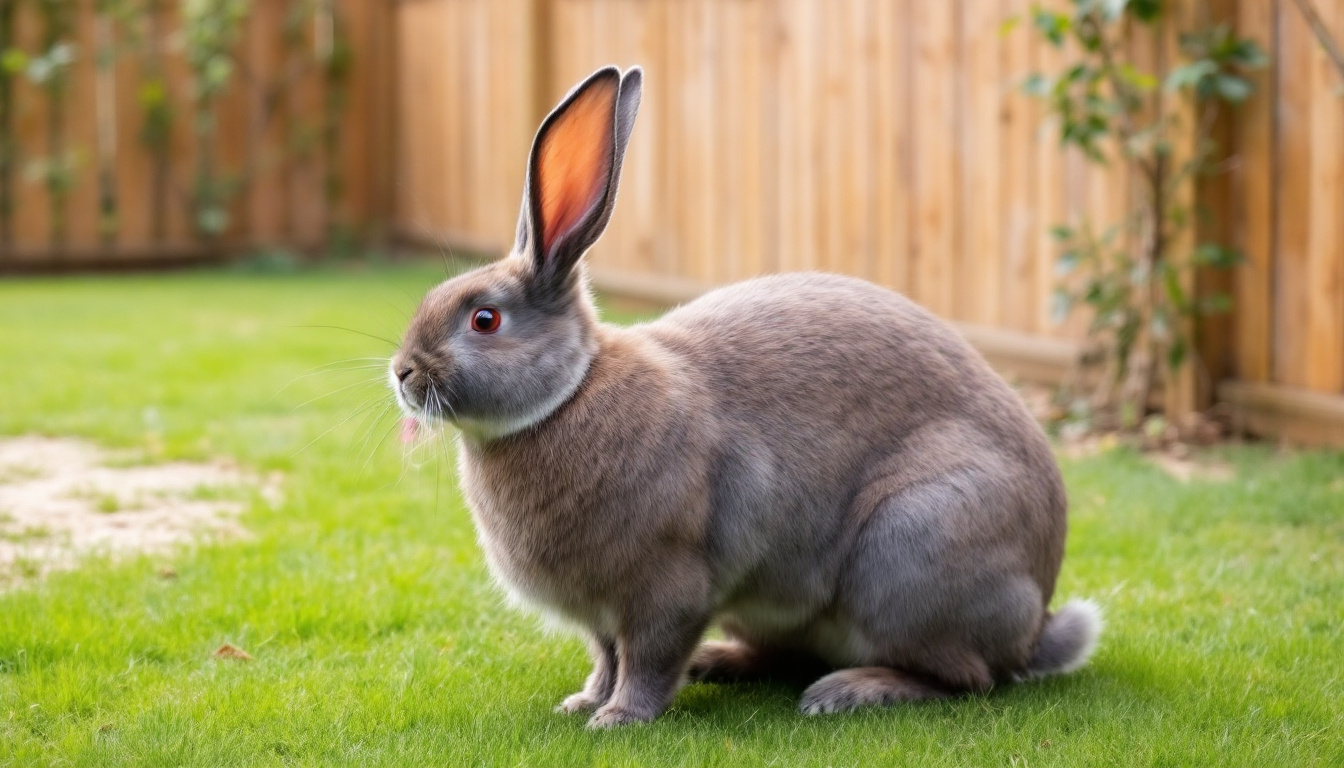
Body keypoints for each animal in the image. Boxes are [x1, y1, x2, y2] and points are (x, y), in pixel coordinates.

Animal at [392, 64, 1102, 726]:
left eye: (485, 319)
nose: (402, 372)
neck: (572, 391)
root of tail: (1035, 620)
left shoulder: (669, 588)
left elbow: (647, 658)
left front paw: (619, 718)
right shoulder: (601, 614)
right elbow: (605, 655)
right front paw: (584, 702)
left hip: (910, 548)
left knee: (968, 678)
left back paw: (848, 692)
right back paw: (721, 663)